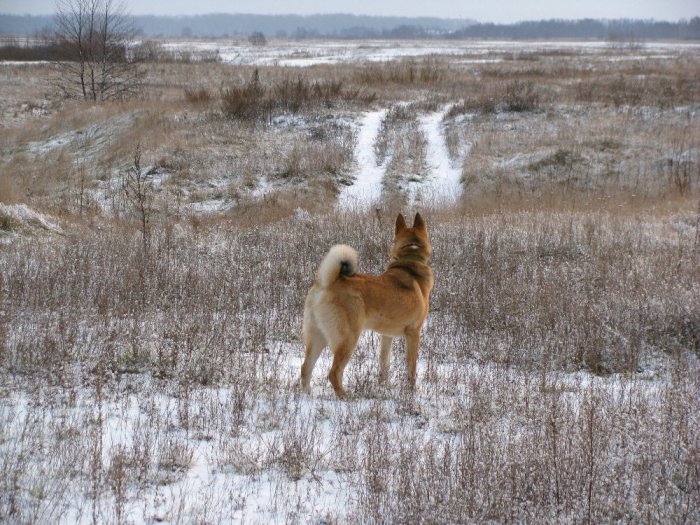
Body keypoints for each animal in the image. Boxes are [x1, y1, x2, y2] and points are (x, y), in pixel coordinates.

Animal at [300, 213, 432, 398]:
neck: (410, 260)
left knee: (306, 368)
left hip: (317, 336)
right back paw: (345, 397)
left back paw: (307, 396)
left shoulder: (386, 336)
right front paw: (411, 392)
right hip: (348, 339)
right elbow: (411, 368)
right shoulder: (413, 333)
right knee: (334, 372)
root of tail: (327, 283)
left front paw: (383, 388)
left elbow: (384, 364)